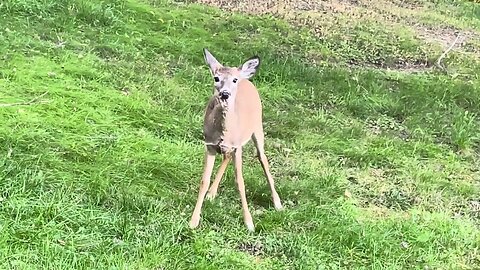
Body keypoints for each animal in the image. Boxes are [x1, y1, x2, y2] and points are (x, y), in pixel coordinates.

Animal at [188, 48, 284, 232]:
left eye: (234, 80)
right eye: (216, 78)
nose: (225, 94)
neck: (224, 132)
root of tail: (246, 78)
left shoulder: (238, 146)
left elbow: (240, 182)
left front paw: (249, 223)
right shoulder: (209, 146)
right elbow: (204, 181)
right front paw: (193, 221)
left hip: (257, 127)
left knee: (263, 158)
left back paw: (277, 203)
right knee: (226, 157)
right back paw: (212, 193)